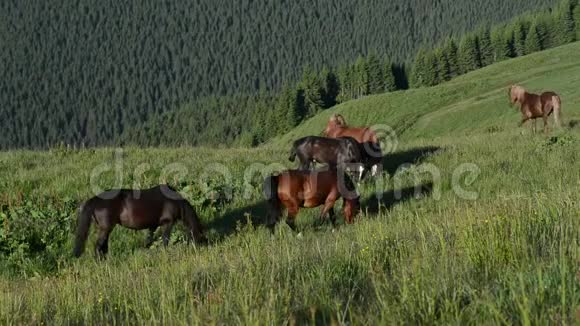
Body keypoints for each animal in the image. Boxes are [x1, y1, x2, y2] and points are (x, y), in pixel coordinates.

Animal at [73, 185, 206, 258]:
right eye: (201, 238)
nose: (199, 252)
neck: (174, 201)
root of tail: (95, 199)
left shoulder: (153, 225)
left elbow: (149, 240)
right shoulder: (167, 223)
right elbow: (165, 240)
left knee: (103, 246)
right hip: (106, 228)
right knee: (98, 246)